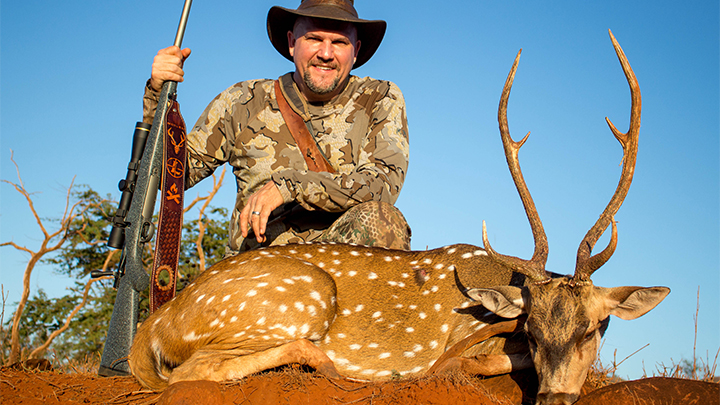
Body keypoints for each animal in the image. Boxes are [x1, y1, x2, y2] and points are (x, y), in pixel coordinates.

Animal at [128, 29, 668, 404]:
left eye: (593, 328)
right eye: (531, 331)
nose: (555, 397)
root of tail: (155, 325)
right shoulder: (465, 341)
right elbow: (482, 363)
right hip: (294, 299)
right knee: (188, 372)